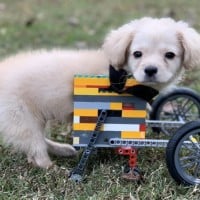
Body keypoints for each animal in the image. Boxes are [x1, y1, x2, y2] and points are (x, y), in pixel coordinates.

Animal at [0, 17, 200, 168]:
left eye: (169, 55)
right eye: (137, 54)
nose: (150, 70)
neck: (123, 74)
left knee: (38, 143)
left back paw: (63, 150)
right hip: (23, 119)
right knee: (36, 149)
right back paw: (52, 168)